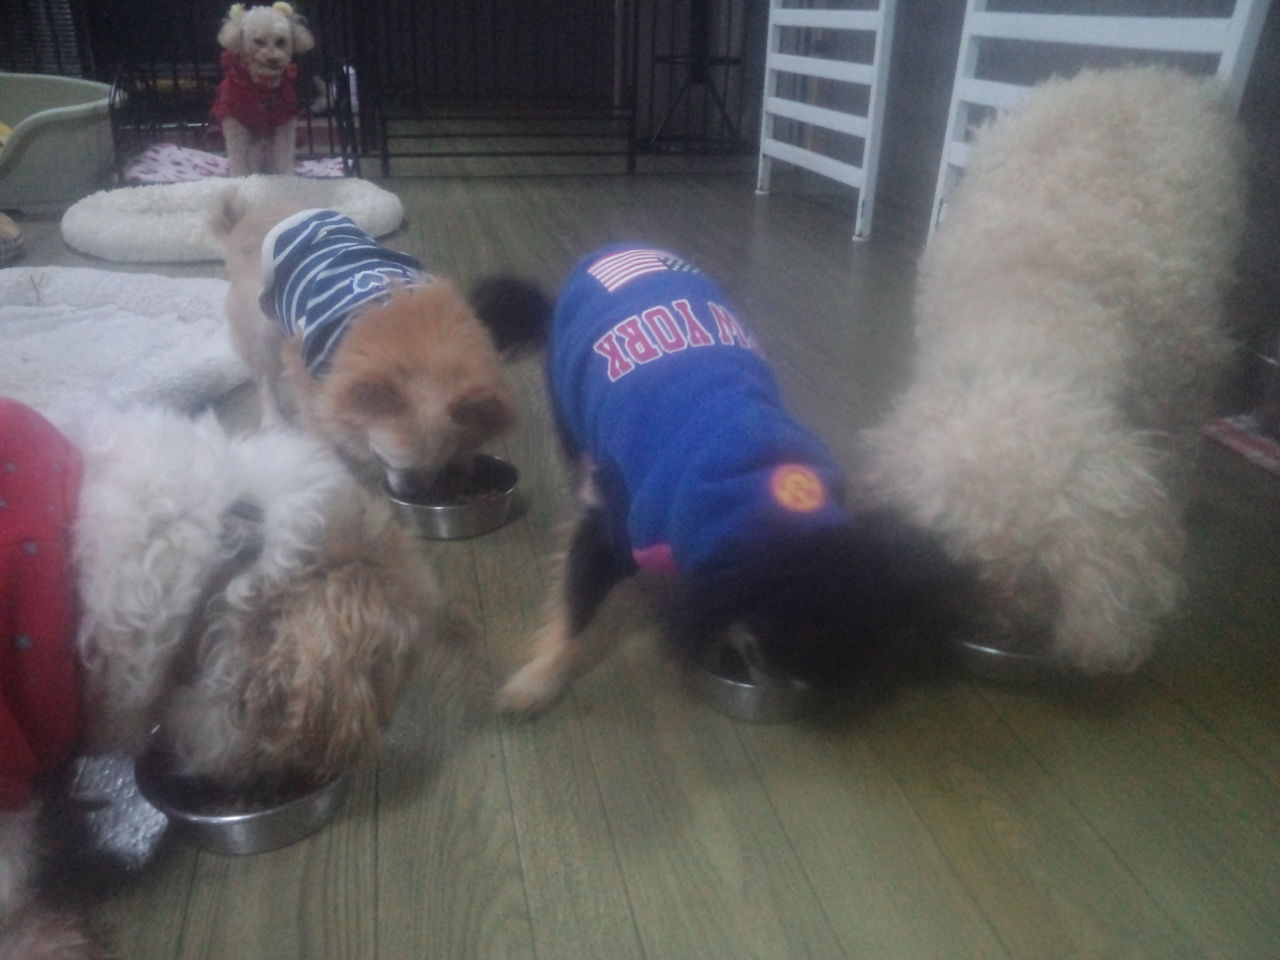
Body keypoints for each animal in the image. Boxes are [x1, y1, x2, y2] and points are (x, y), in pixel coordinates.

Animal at [212, 2, 315, 177]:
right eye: (258, 41)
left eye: (281, 41)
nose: (273, 59)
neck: (261, 87)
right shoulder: (235, 119)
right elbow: (238, 155)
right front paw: (240, 177)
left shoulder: (284, 120)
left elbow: (284, 153)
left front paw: (287, 177)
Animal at [214, 197, 521, 497]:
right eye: (384, 460)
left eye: (439, 465)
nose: (411, 493)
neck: (415, 345)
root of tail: (245, 219)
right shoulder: (312, 379)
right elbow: (322, 427)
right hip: (262, 326)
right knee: (263, 377)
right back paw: (273, 421)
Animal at [477, 249, 963, 716]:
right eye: (771, 650)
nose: (791, 686)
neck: (754, 484)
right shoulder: (609, 532)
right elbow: (573, 610)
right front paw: (538, 680)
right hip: (569, 404)